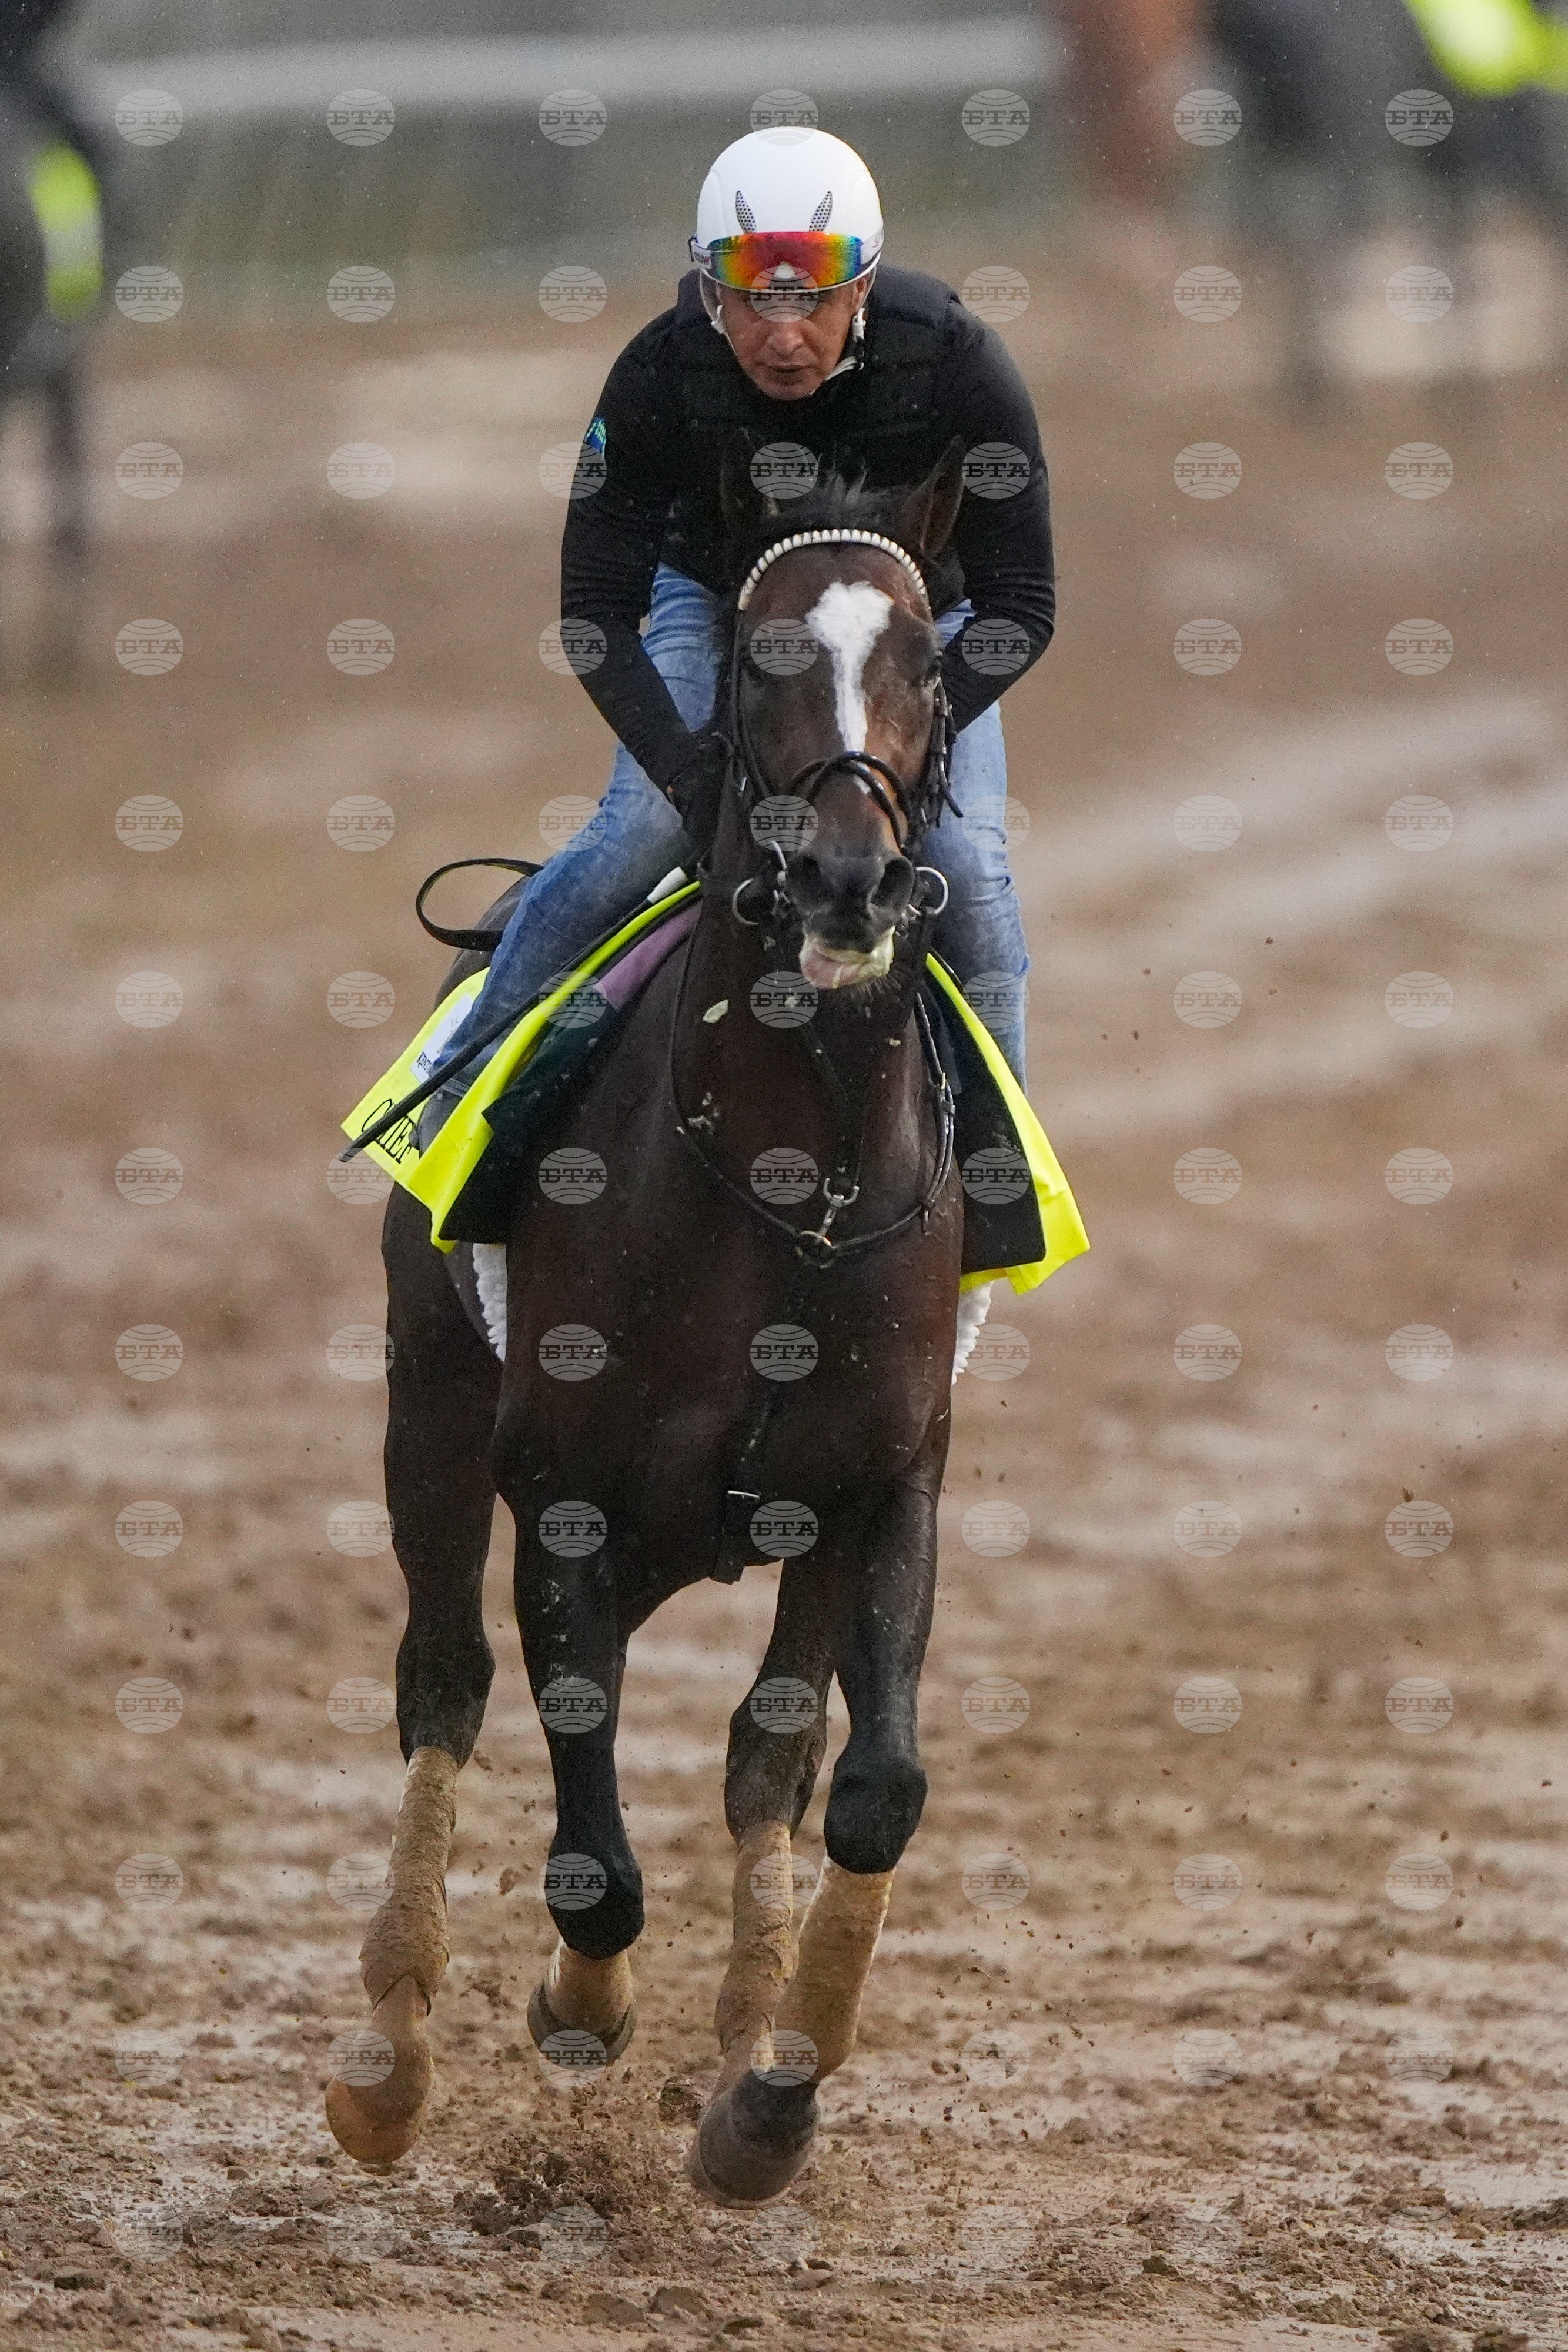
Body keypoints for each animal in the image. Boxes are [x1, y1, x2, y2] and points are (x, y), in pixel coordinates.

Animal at [325, 443, 975, 2203]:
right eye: (753, 662)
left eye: (926, 657)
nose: (846, 877)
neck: (788, 1175)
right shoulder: (557, 1488)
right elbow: (589, 1850)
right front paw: (578, 2009)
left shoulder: (883, 1483)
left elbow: (864, 1782)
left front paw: (767, 2097)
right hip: (427, 1412)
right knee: (446, 1685)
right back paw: (388, 2063)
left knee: (762, 1754)